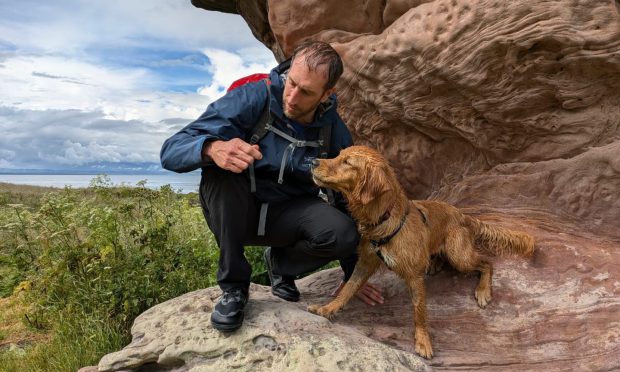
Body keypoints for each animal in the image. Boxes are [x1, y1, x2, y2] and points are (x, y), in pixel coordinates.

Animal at [308, 146, 532, 360]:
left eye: (347, 162)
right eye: (338, 155)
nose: (313, 161)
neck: (384, 218)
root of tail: (462, 215)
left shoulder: (414, 275)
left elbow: (419, 310)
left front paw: (423, 341)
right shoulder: (365, 262)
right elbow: (348, 289)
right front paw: (327, 308)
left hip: (459, 255)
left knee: (486, 263)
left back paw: (483, 291)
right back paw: (435, 263)